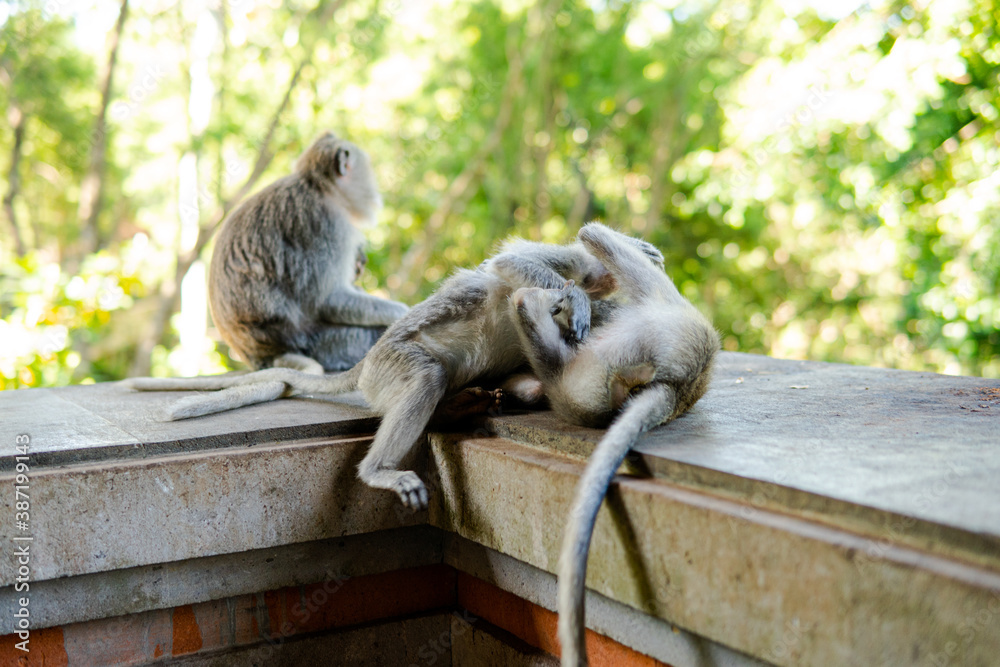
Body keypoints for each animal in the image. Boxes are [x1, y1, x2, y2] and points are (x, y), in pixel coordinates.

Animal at [208, 131, 408, 373]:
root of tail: (260, 357)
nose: (375, 190)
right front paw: (402, 312)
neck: (317, 187)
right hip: (327, 343)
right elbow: (329, 301)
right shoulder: (330, 226)